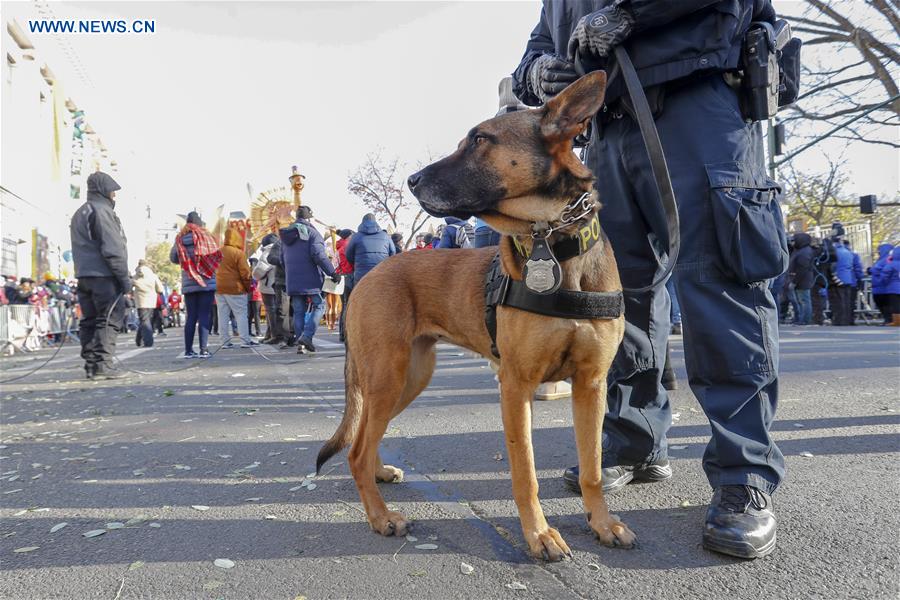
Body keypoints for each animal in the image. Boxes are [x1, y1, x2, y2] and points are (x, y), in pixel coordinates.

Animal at [316, 72, 632, 560]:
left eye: (481, 140)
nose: (411, 180)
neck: (553, 240)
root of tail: (370, 275)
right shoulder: (515, 387)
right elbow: (525, 473)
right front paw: (539, 535)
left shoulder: (591, 385)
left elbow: (592, 468)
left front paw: (602, 523)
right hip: (390, 375)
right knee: (356, 448)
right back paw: (381, 516)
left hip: (410, 377)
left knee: (368, 435)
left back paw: (380, 473)